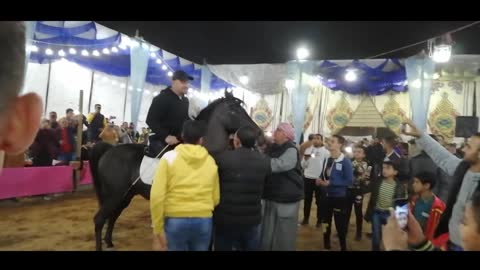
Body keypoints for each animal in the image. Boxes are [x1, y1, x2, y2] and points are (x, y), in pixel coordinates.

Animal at [89, 92, 262, 251]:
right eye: (233, 110)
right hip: (115, 195)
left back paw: (109, 242)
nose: (259, 133)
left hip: (125, 195)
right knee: (99, 219)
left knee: (113, 216)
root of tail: (109, 150)